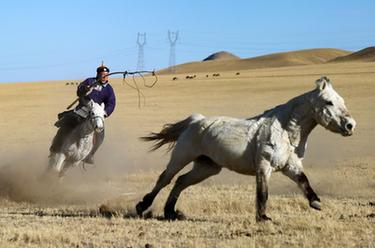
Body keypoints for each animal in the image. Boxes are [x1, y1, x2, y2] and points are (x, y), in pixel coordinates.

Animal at [137, 77, 356, 221]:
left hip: (207, 167)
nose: (350, 125)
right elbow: (262, 193)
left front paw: (316, 202)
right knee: (165, 179)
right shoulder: (264, 166)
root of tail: (195, 120)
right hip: (181, 157)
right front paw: (263, 218)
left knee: (181, 181)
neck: (285, 130)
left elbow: (304, 181)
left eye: (343, 101)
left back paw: (171, 212)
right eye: (329, 102)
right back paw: (143, 206)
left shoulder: (290, 166)